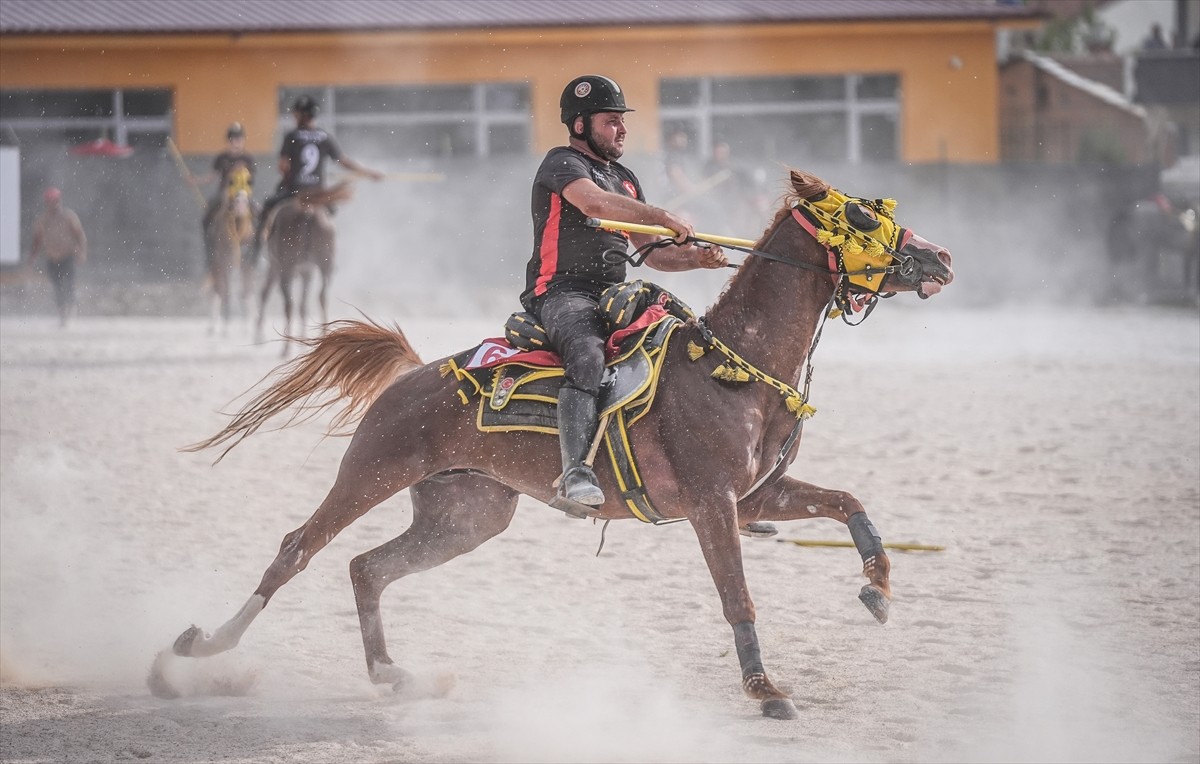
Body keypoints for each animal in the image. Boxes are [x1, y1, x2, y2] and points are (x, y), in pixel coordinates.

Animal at [204, 165, 253, 333]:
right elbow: (226, 290)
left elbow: (243, 290)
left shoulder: (244, 261)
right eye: (231, 180)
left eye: (248, 179)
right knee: (220, 289)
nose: (241, 203)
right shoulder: (227, 259)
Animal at [252, 183, 350, 352]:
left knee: (288, 303)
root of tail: (308, 211)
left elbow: (265, 294)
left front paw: (259, 336)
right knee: (321, 296)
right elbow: (303, 305)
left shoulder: (275, 267)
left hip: (286, 268)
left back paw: (285, 347)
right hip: (325, 264)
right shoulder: (307, 271)